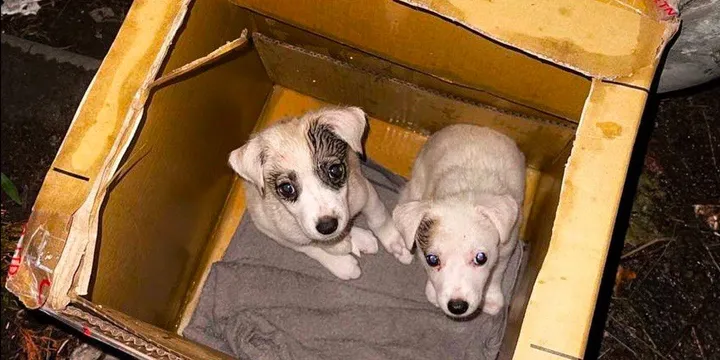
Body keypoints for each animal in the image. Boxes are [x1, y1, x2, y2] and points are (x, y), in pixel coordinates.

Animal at [228, 105, 414, 280]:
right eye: (287, 188)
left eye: (335, 171)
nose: (327, 227)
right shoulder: (276, 232)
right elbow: (312, 247)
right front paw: (342, 263)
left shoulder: (365, 192)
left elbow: (379, 217)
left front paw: (396, 242)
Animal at [390, 124, 524, 318]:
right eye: (432, 260)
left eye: (481, 258)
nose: (457, 307)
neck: (463, 191)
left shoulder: (507, 246)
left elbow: (497, 271)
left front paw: (491, 297)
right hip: (415, 185)